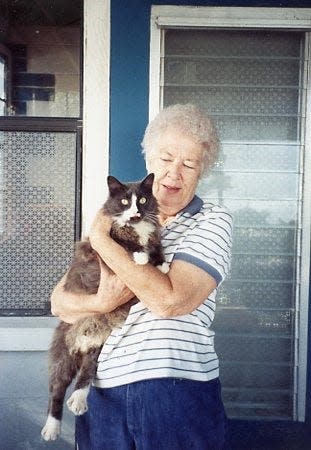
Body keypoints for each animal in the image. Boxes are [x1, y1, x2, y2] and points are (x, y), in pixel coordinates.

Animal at [41, 174, 169, 442]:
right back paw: (52, 428)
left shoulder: (153, 234)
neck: (137, 227)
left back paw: (79, 400)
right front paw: (141, 256)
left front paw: (161, 263)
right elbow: (125, 244)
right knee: (56, 393)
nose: (136, 212)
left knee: (85, 377)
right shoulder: (102, 245)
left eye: (143, 200)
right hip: (62, 358)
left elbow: (156, 244)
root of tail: (83, 341)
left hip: (97, 350)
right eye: (124, 201)